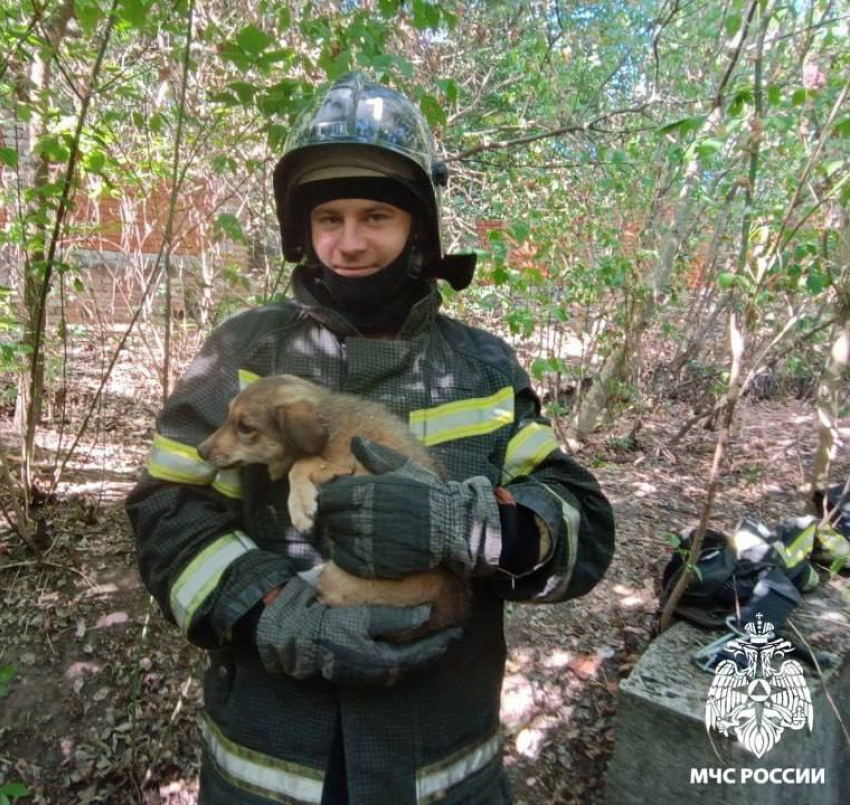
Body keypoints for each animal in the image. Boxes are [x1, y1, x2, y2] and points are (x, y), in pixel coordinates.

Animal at [195, 374, 468, 636]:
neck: (330, 423)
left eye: (245, 427)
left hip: (337, 580)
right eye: (228, 415)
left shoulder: (349, 467)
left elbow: (301, 464)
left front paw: (300, 506)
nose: (200, 451)